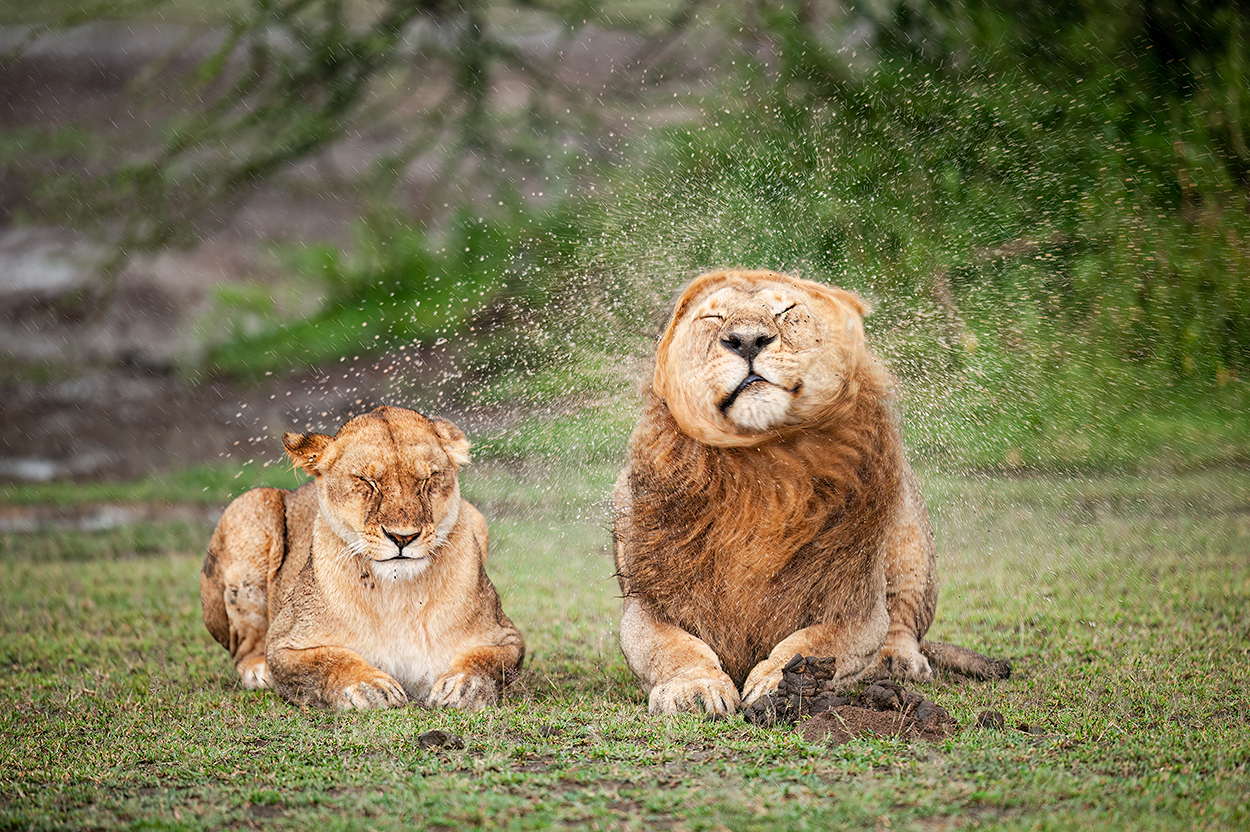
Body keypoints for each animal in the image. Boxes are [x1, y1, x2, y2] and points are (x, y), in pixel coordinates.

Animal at [200, 406, 524, 710]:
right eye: (368, 481)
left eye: (427, 480)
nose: (403, 537)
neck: (399, 596)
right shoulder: (283, 644)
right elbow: (329, 660)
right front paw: (368, 687)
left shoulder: (506, 636)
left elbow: (489, 660)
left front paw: (463, 685)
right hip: (250, 505)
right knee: (243, 649)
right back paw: (258, 672)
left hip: (476, 514)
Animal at [613, 269, 1009, 715]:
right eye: (712, 318)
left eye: (785, 311)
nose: (747, 340)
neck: (762, 474)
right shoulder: (646, 606)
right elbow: (675, 649)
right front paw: (695, 687)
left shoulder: (857, 607)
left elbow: (814, 642)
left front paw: (783, 685)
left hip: (910, 543)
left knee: (903, 622)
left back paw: (897, 661)